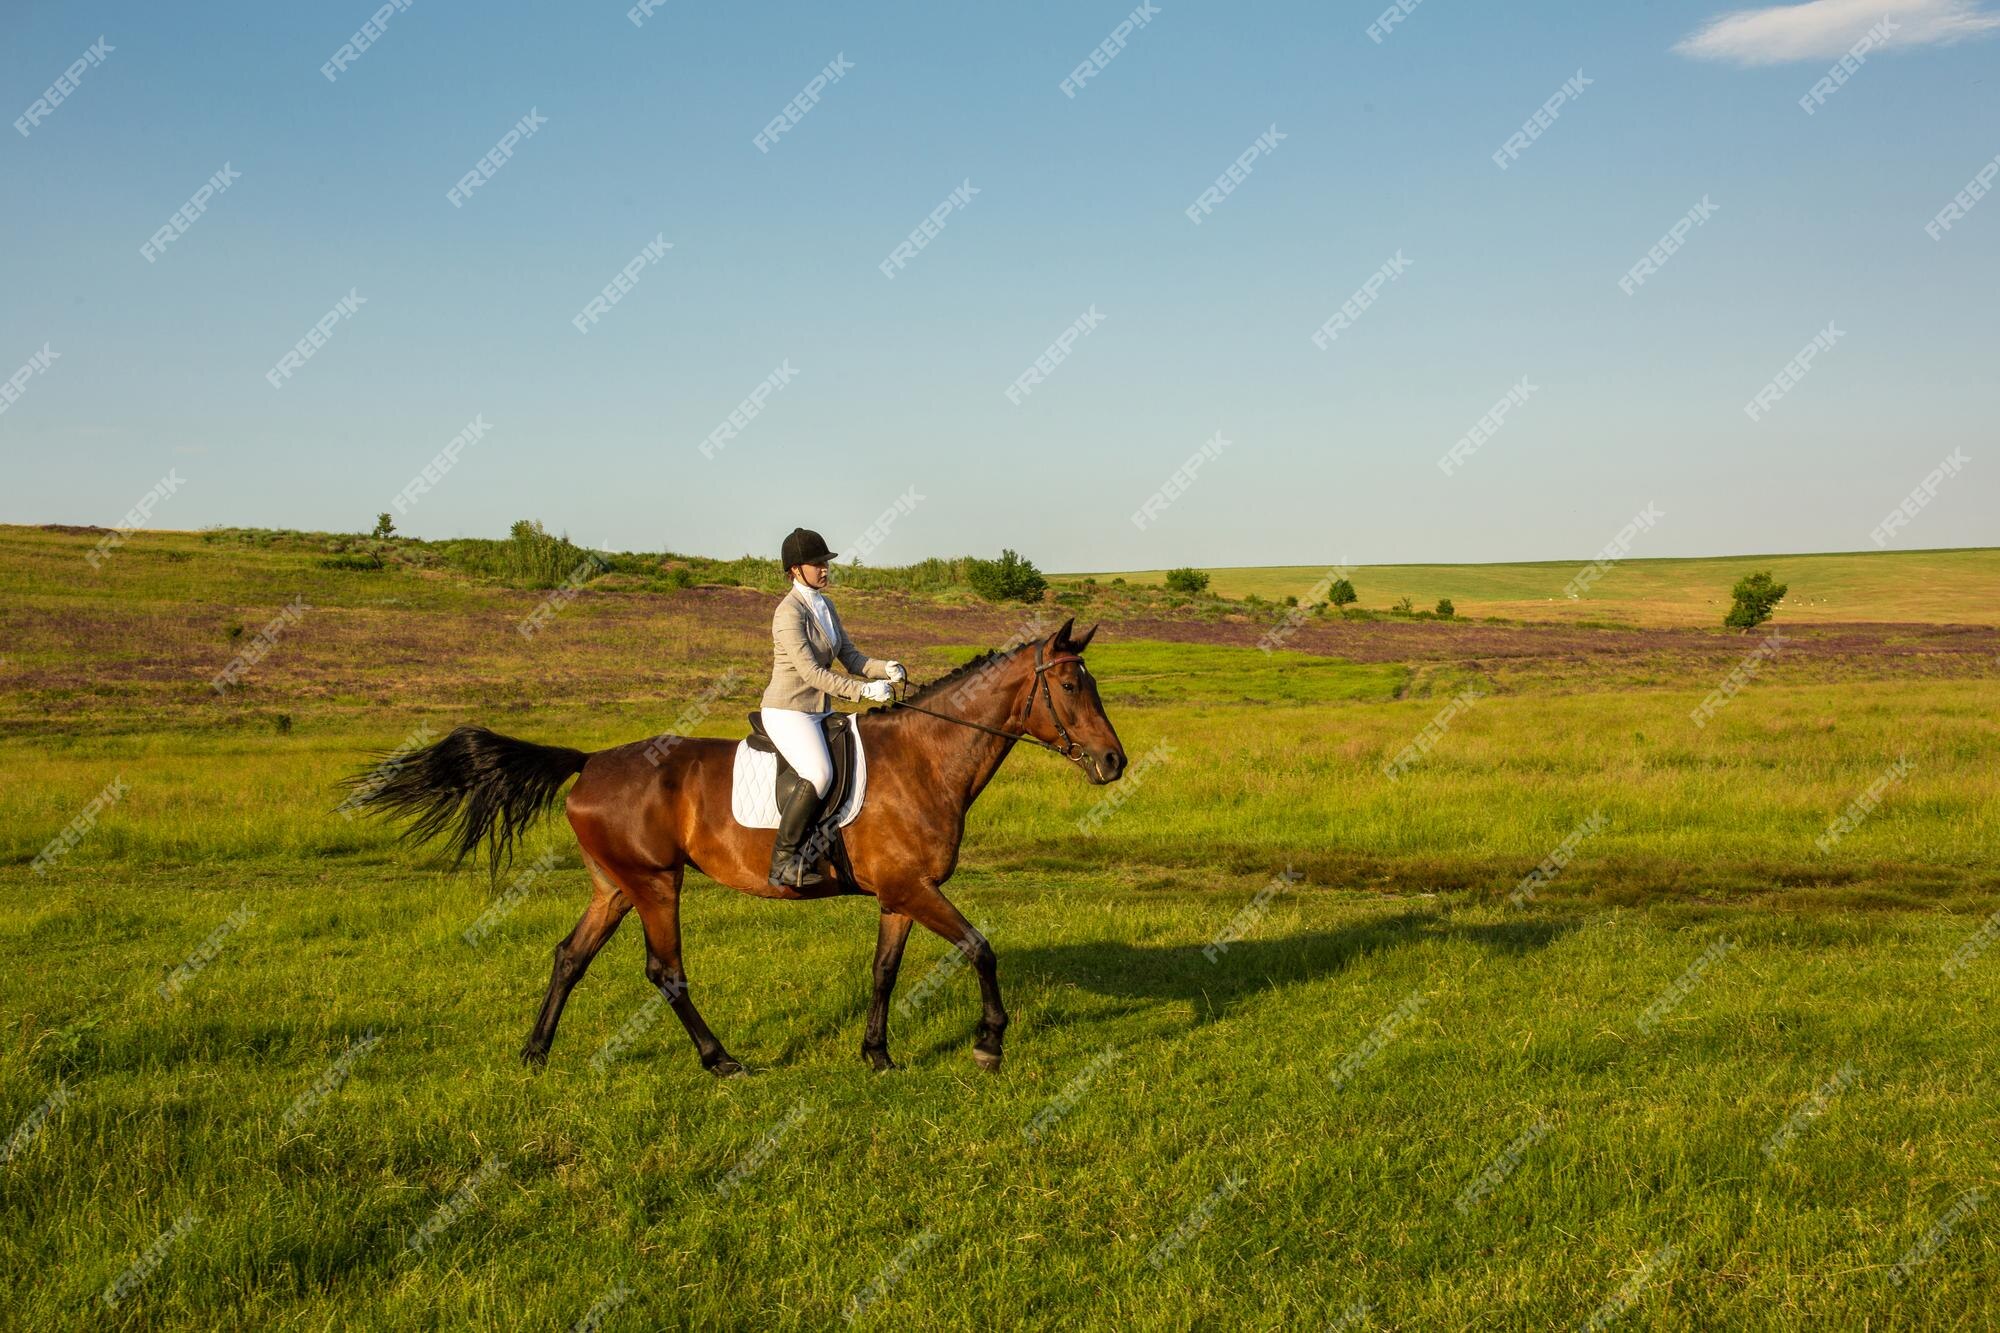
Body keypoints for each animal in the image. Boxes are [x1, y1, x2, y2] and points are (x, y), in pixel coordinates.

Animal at [344, 620, 1128, 1072]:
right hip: (656, 883)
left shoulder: (900, 894)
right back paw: (719, 1059)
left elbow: (884, 972)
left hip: (615, 885)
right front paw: (989, 1042)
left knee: (571, 955)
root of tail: (590, 761)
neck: (925, 758)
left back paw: (536, 1052)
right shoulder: (915, 888)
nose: (1114, 762)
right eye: (1068, 683)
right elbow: (980, 948)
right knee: (665, 972)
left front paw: (876, 1055)